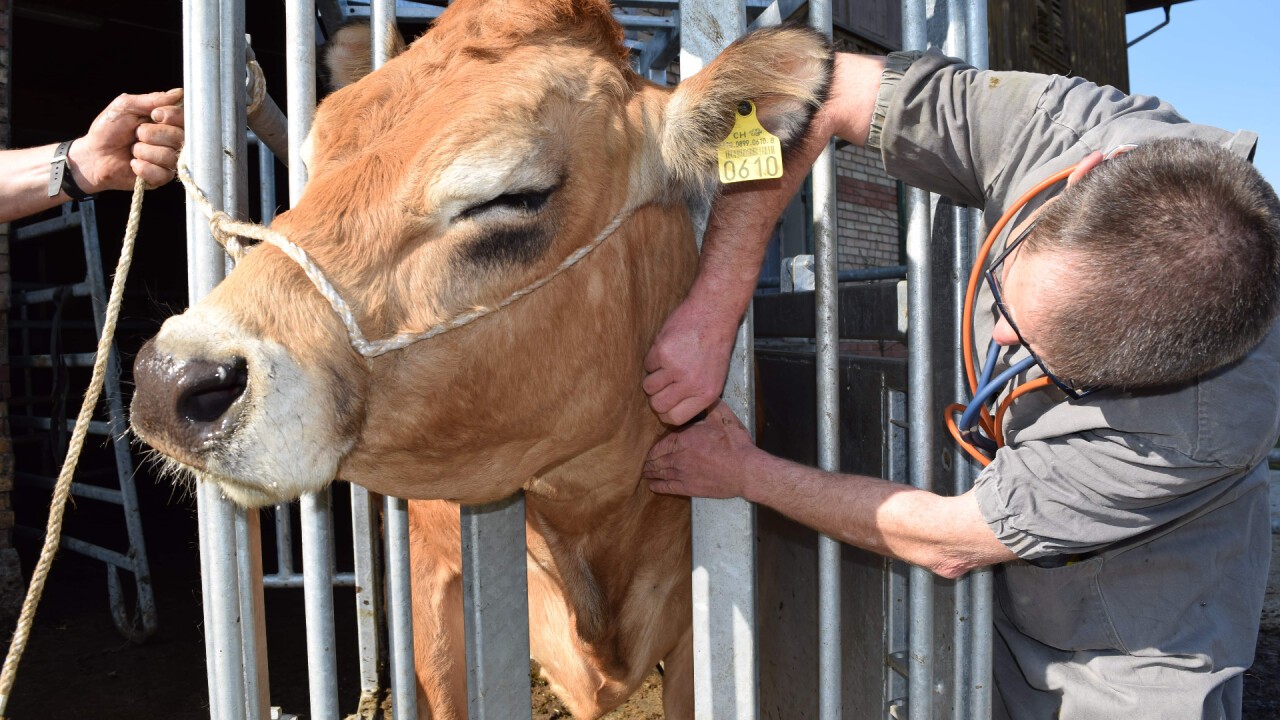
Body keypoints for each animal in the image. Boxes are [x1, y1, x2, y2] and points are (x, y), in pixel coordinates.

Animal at [129, 2, 829, 712]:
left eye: (515, 195)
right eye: (313, 163)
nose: (170, 377)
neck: (587, 518)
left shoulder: (698, 635)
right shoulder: (430, 589)